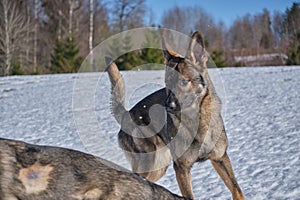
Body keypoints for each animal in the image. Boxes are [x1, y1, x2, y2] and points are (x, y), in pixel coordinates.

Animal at [105, 31, 244, 200]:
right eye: (167, 83)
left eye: (183, 82)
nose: (167, 106)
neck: (198, 122)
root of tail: (126, 115)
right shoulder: (182, 168)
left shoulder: (220, 159)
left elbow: (237, 190)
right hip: (153, 165)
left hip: (159, 167)